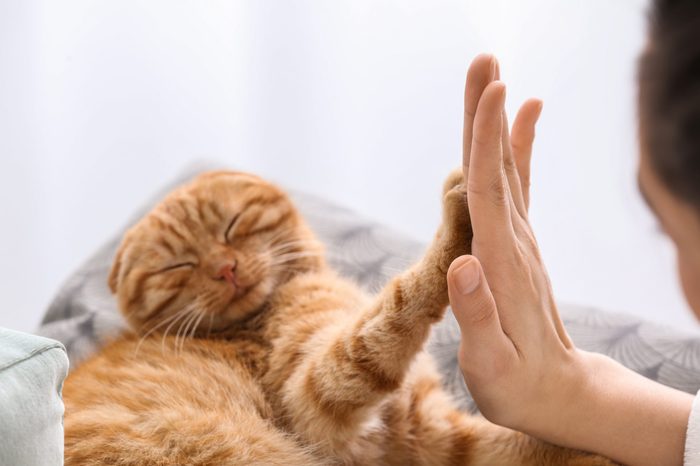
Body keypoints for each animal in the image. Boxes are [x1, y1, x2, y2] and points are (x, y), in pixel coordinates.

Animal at [64, 169, 612, 464]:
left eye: (231, 225)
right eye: (177, 266)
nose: (225, 268)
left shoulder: (427, 434)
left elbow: (531, 447)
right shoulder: (317, 396)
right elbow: (395, 306)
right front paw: (459, 224)